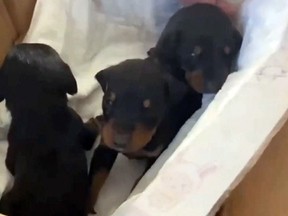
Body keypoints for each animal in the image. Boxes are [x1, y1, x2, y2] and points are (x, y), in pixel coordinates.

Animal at [86, 57, 201, 213]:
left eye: (148, 108)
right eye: (109, 101)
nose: (120, 142)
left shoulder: (156, 155)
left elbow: (139, 181)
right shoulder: (105, 147)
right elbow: (95, 178)